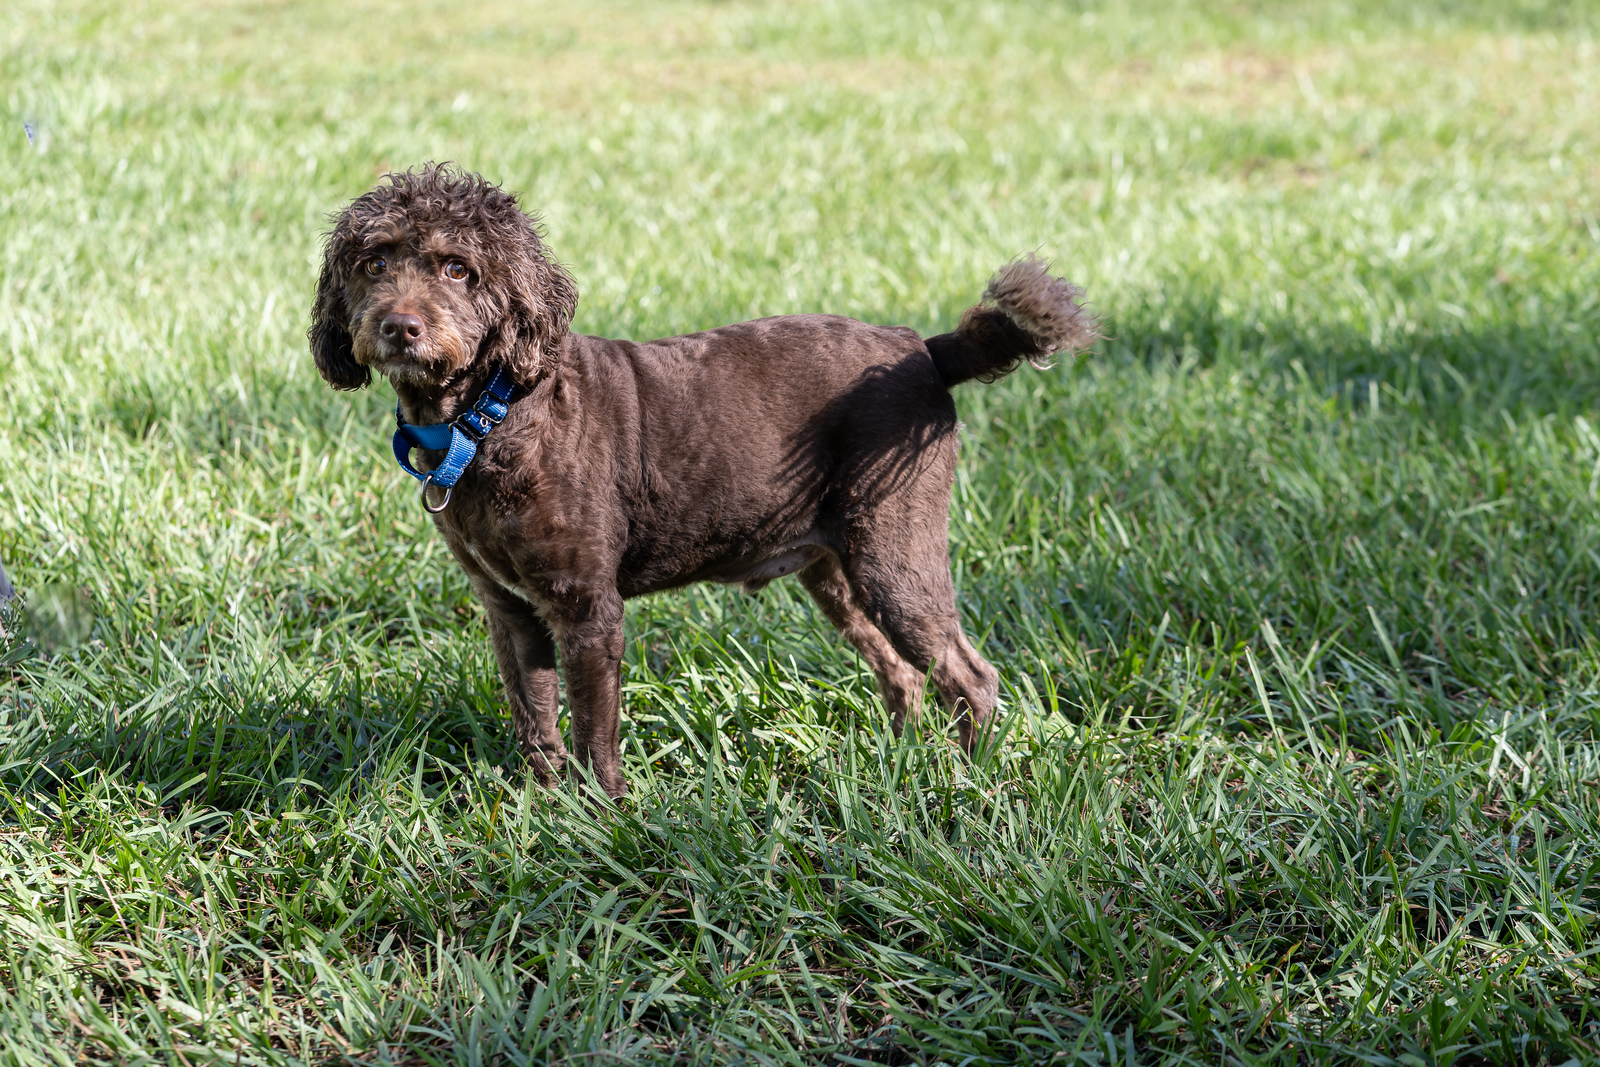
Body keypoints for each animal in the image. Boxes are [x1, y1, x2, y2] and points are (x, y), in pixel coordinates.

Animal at [305, 164, 1094, 799]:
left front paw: (602, 817)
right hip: (835, 569)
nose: (398, 326)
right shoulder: (511, 608)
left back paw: (968, 781)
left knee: (970, 677)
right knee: (902, 675)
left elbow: (593, 731)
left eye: (458, 269)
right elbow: (536, 721)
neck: (490, 414)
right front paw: (542, 810)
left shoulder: (587, 609)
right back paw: (898, 767)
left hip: (895, 553)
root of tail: (923, 351)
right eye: (374, 261)